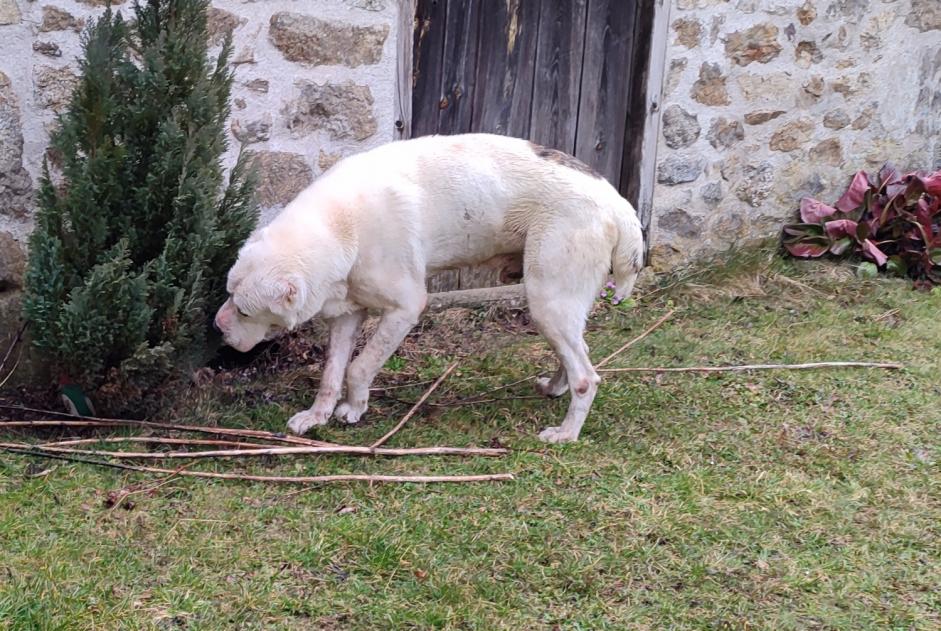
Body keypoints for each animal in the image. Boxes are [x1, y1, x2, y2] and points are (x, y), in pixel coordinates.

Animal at [214, 132, 644, 444]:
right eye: (229, 294)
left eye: (245, 310)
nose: (217, 325)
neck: (342, 226)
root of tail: (619, 205)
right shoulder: (348, 314)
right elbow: (331, 374)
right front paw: (316, 416)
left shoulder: (405, 308)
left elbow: (359, 367)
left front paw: (354, 409)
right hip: (555, 305)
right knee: (575, 354)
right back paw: (555, 388)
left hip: (547, 299)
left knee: (587, 377)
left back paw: (566, 433)